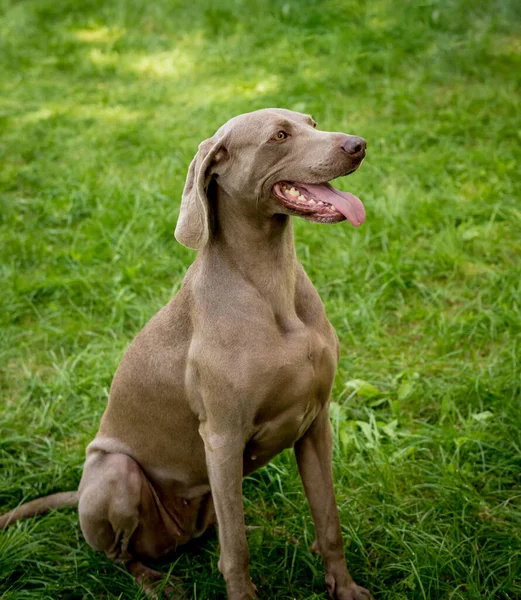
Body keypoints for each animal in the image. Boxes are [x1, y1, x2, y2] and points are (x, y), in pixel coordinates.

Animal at [2, 109, 372, 600]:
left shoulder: (315, 423)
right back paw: (156, 583)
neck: (270, 284)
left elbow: (328, 520)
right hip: (115, 471)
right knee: (122, 554)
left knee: (221, 528)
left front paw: (344, 588)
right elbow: (235, 553)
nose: (358, 144)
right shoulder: (222, 437)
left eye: (311, 121)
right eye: (279, 136)